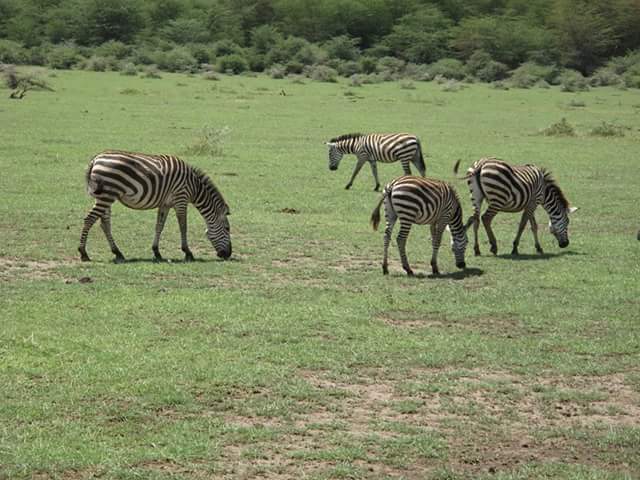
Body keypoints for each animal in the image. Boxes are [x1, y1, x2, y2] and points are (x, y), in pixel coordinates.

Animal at [78, 150, 231, 262]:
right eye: (227, 228)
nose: (228, 255)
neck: (195, 187)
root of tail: (95, 159)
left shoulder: (165, 204)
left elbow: (159, 226)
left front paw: (157, 252)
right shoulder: (181, 199)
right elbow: (183, 226)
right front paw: (188, 252)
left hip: (105, 197)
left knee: (104, 223)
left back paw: (118, 253)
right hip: (107, 195)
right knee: (89, 219)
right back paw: (83, 253)